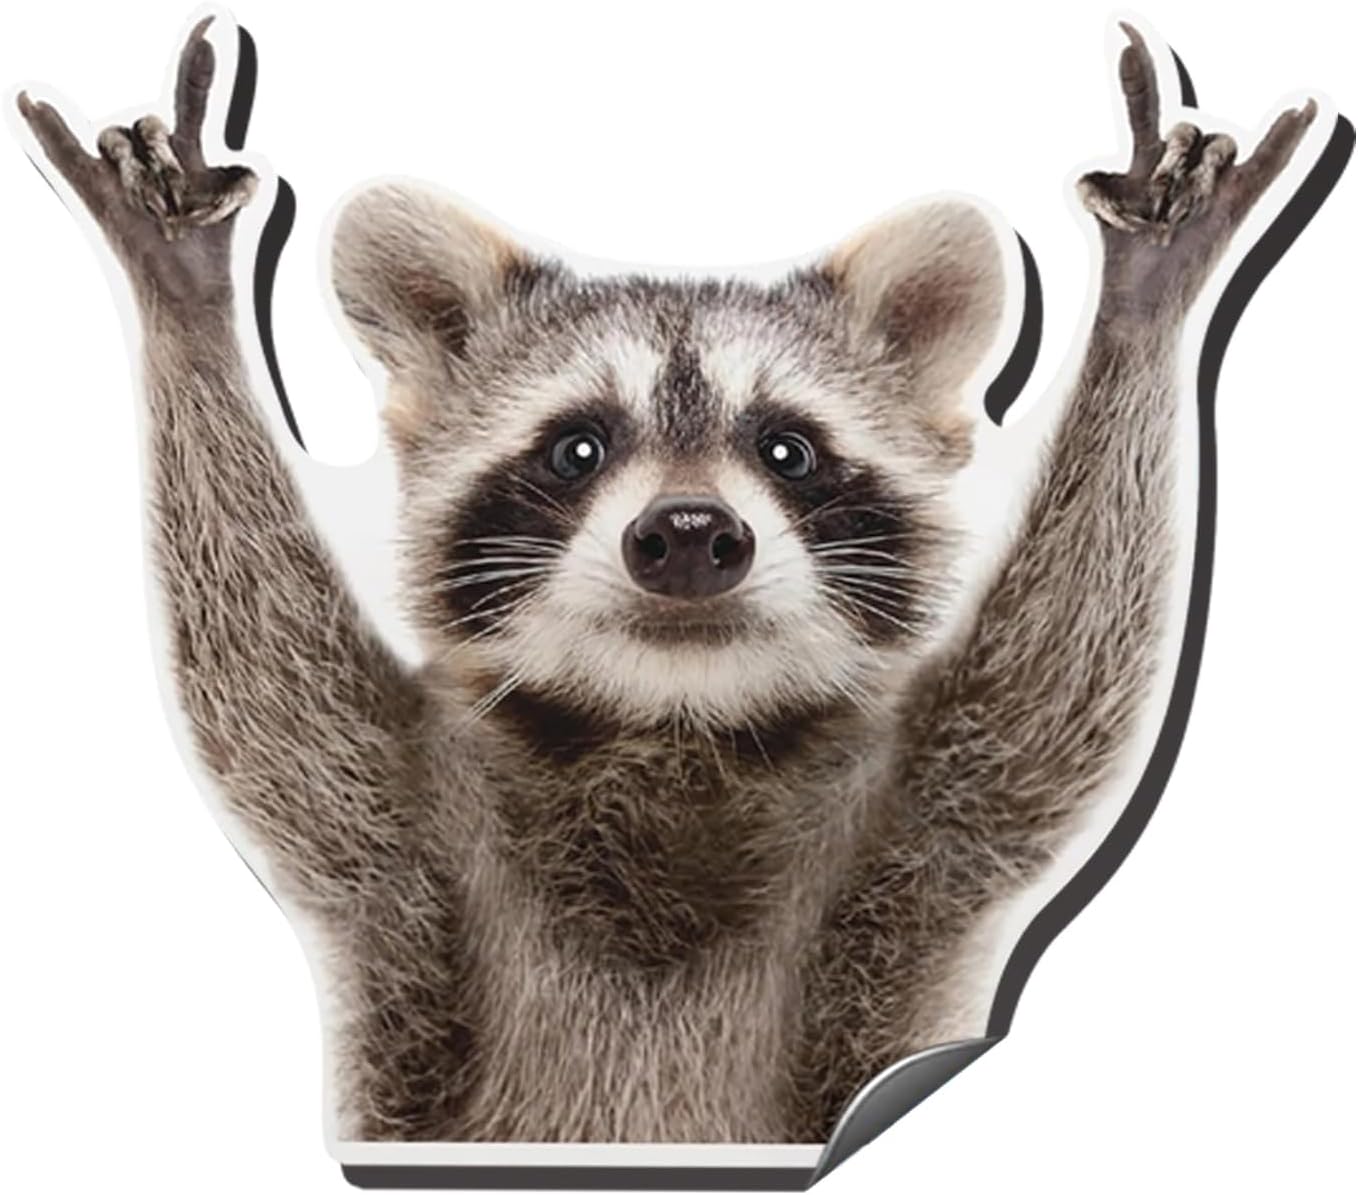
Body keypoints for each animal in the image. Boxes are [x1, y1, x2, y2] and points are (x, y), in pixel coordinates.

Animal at [15, 17, 1318, 1145]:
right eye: (576, 448)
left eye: (786, 450)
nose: (689, 533)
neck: (670, 718)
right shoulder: (399, 837)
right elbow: (261, 682)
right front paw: (185, 302)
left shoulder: (922, 830)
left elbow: (1055, 686)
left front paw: (1141, 308)